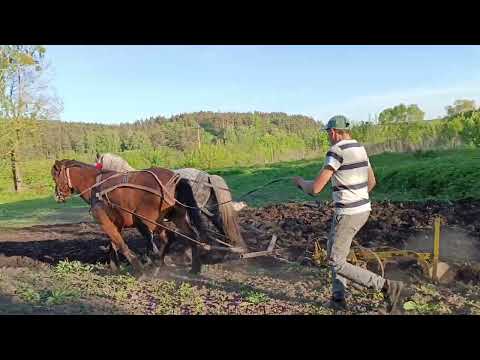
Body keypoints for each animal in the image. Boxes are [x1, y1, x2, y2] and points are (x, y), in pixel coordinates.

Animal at [49, 159, 209, 274]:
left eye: (55, 176)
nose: (57, 195)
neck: (96, 185)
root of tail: (175, 179)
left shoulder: (104, 221)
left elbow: (120, 243)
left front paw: (137, 267)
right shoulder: (116, 222)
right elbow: (113, 243)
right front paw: (115, 266)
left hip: (147, 220)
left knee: (162, 240)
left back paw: (156, 264)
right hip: (175, 216)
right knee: (190, 236)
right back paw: (193, 268)